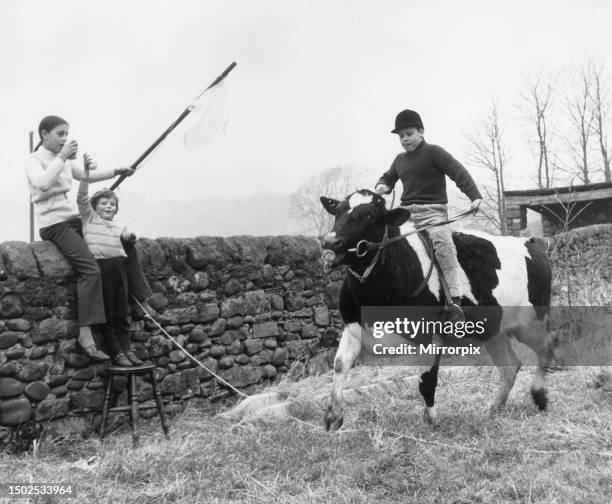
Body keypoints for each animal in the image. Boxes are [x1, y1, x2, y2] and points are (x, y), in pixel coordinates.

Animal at [320, 191, 556, 432]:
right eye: (338, 210)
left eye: (370, 216)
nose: (330, 242)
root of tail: (530, 242)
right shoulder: (352, 327)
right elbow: (339, 365)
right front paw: (333, 416)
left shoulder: (431, 335)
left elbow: (427, 380)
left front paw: (432, 420)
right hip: (494, 331)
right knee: (510, 367)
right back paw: (493, 408)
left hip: (531, 321)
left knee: (546, 347)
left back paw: (539, 396)